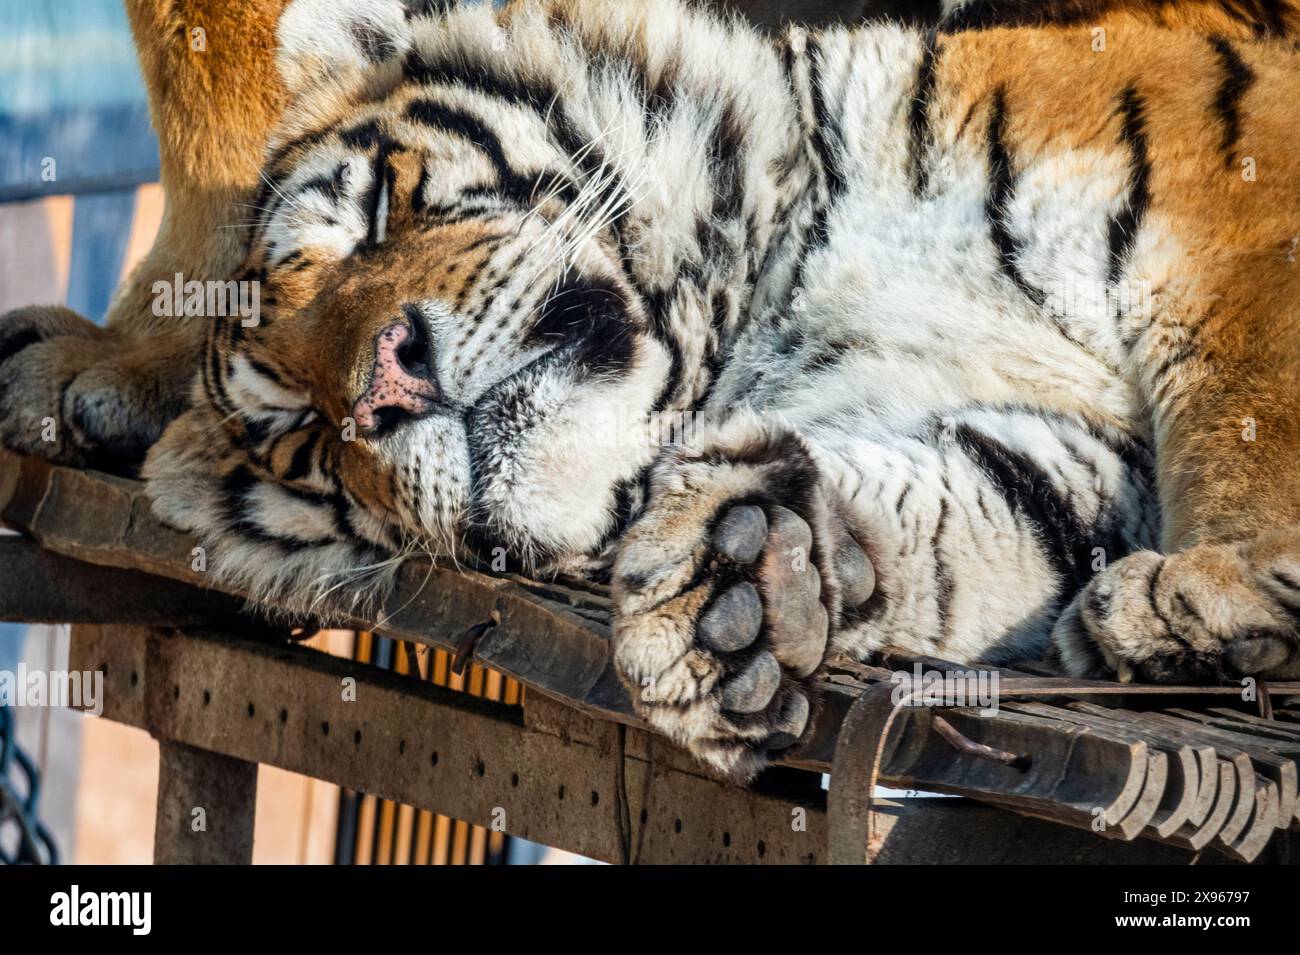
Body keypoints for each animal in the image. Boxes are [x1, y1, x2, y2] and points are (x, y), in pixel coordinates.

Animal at [2, 0, 1300, 779]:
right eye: (303, 438)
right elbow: (982, 504)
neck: (775, 305)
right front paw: (742, 586)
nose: (381, 387)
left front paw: (1207, 585)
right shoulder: (1055, 443)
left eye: (373, 215)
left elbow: (1246, 406)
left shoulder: (1231, 211)